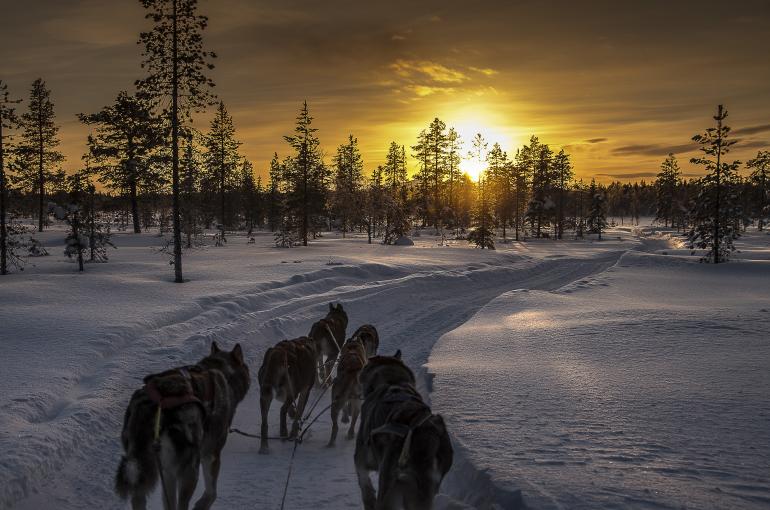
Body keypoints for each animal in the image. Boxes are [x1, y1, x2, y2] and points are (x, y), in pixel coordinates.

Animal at [114, 340, 249, 510]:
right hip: (190, 469)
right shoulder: (211, 454)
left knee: (141, 497)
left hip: (144, 467)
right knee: (182, 503)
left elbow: (169, 501)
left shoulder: (168, 472)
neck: (223, 372)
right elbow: (211, 492)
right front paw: (202, 504)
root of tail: (157, 404)